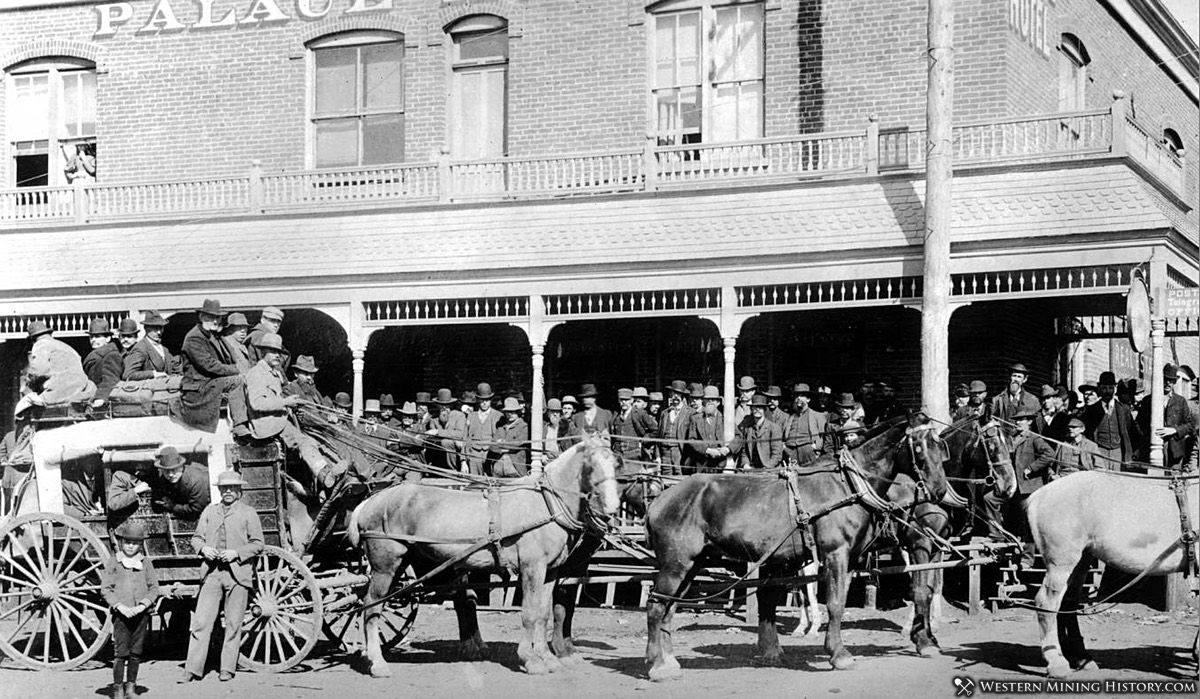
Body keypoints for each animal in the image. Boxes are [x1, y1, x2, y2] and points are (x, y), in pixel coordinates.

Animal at [350, 437, 619, 677]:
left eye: (615, 464)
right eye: (591, 465)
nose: (613, 509)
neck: (545, 504)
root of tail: (369, 502)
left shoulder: (550, 571)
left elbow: (543, 614)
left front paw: (547, 658)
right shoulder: (532, 568)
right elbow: (530, 614)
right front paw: (531, 659)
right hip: (385, 566)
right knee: (371, 606)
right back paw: (377, 663)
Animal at [643, 413, 950, 682]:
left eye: (940, 447)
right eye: (919, 447)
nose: (939, 491)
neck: (847, 485)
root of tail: (658, 500)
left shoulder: (850, 559)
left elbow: (839, 600)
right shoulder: (836, 554)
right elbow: (835, 604)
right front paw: (839, 654)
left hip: (693, 564)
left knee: (669, 607)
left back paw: (669, 662)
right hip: (675, 564)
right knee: (656, 606)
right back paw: (658, 666)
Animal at [892, 408, 1012, 658]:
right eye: (992, 444)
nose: (1009, 486)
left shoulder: (939, 546)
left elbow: (931, 589)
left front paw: (928, 635)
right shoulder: (919, 544)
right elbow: (919, 590)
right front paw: (922, 640)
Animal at [1022, 470, 1200, 677]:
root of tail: (1039, 495)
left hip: (1082, 561)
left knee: (1068, 603)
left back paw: (1081, 658)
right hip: (1061, 562)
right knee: (1047, 603)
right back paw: (1056, 663)